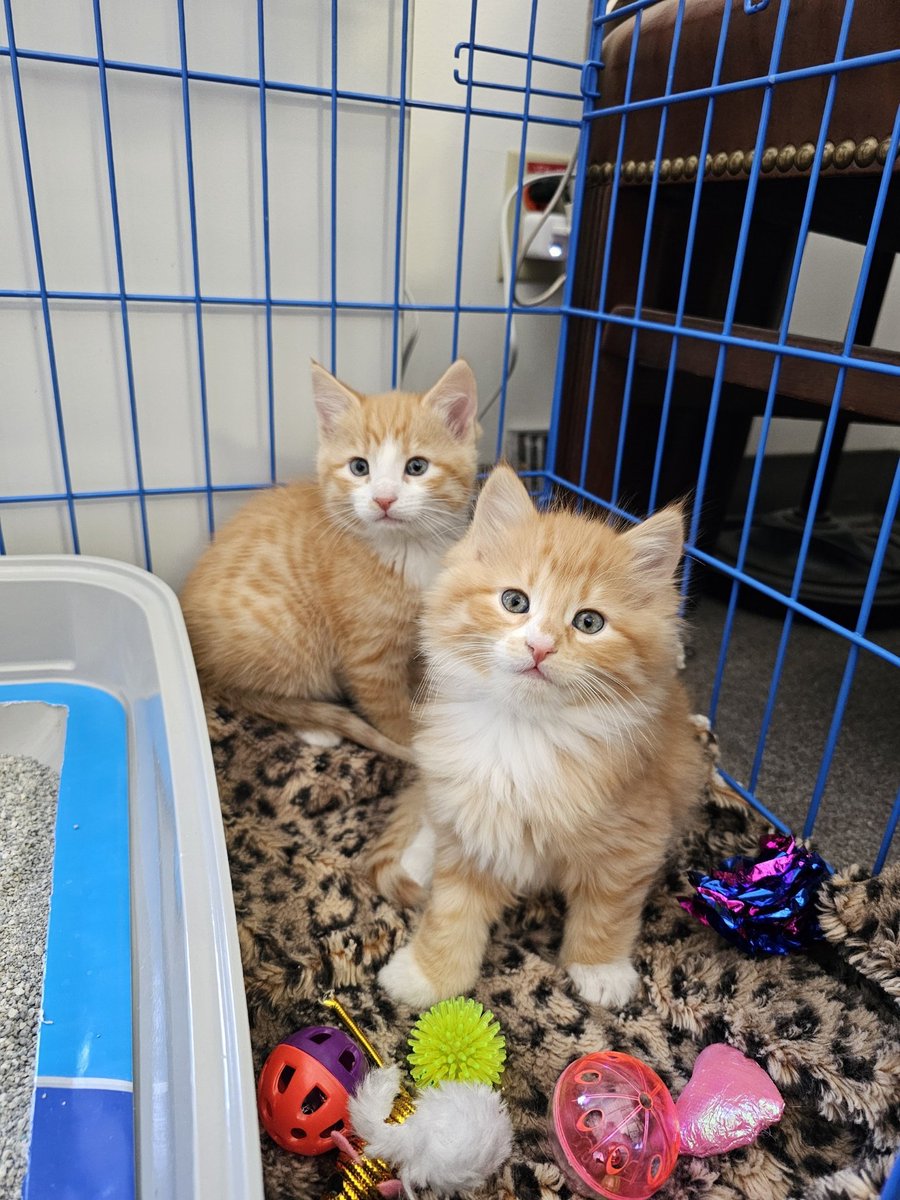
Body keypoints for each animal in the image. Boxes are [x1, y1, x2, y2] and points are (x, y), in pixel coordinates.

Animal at [178, 357, 482, 758]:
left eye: (417, 467)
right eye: (359, 467)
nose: (383, 499)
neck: (409, 548)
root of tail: (201, 669)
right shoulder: (368, 656)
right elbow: (388, 709)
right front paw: (412, 742)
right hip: (287, 636)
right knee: (263, 697)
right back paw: (315, 727)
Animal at [369, 463, 710, 1008]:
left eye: (589, 622)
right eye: (515, 601)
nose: (541, 646)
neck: (522, 735)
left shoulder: (635, 835)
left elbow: (608, 908)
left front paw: (600, 969)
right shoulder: (471, 824)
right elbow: (450, 910)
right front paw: (427, 974)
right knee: (429, 814)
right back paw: (417, 859)